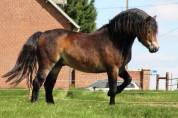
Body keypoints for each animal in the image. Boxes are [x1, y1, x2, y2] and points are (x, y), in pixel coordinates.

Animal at [2, 8, 159, 104]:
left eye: (155, 30)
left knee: (48, 85)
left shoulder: (120, 69)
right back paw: (35, 103)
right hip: (47, 64)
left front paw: (109, 95)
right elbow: (114, 87)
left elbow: (128, 80)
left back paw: (51, 104)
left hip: (57, 66)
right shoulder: (112, 69)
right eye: (148, 31)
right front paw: (111, 103)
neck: (115, 40)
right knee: (37, 82)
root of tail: (43, 34)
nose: (155, 48)